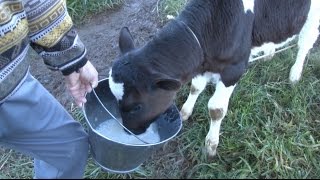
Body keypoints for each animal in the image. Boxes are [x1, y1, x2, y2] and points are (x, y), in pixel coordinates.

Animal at [108, 0, 320, 156]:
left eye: (136, 107)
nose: (128, 131)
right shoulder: (202, 64)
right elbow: (195, 87)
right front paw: (185, 112)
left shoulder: (234, 69)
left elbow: (216, 110)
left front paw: (211, 144)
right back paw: (269, 53)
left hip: (312, 17)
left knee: (304, 44)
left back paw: (295, 74)